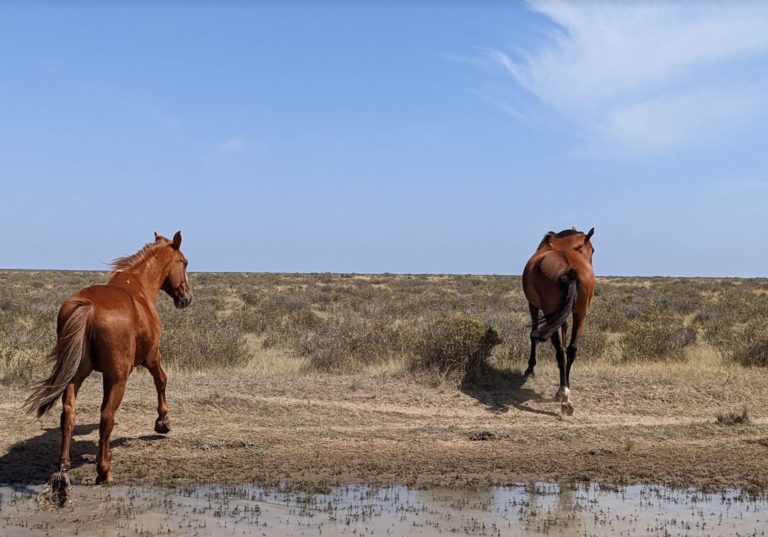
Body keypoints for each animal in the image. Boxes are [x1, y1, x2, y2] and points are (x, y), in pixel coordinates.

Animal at [24, 232, 192, 484]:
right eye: (184, 262)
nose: (186, 298)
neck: (138, 288)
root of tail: (89, 308)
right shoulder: (151, 356)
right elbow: (161, 380)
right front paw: (163, 422)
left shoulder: (105, 375)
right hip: (119, 379)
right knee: (106, 417)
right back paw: (104, 470)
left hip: (75, 377)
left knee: (68, 415)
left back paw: (64, 466)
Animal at [520, 226, 596, 414]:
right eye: (593, 250)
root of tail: (570, 268)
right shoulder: (564, 316)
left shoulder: (533, 305)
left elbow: (532, 334)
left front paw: (530, 368)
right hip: (580, 315)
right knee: (571, 349)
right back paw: (564, 391)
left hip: (550, 313)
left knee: (560, 351)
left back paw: (564, 396)